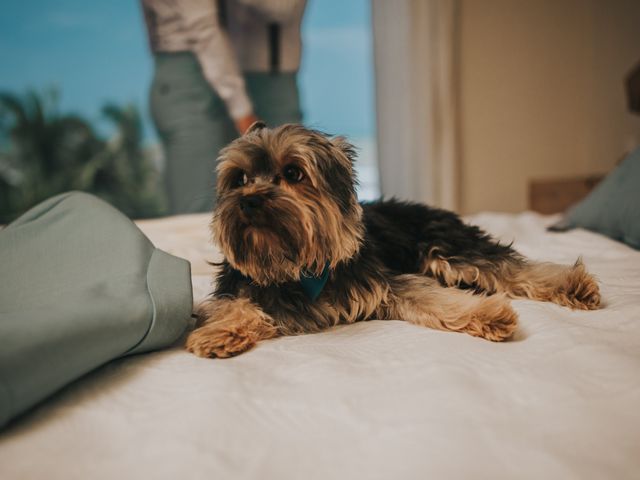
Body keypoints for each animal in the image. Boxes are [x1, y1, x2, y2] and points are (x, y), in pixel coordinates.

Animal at [185, 124, 600, 356]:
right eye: (239, 179)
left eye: (293, 173)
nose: (249, 200)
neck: (298, 266)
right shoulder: (239, 288)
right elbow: (231, 307)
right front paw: (217, 333)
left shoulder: (385, 282)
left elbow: (436, 297)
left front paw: (488, 314)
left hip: (448, 246)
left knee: (512, 268)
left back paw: (574, 284)